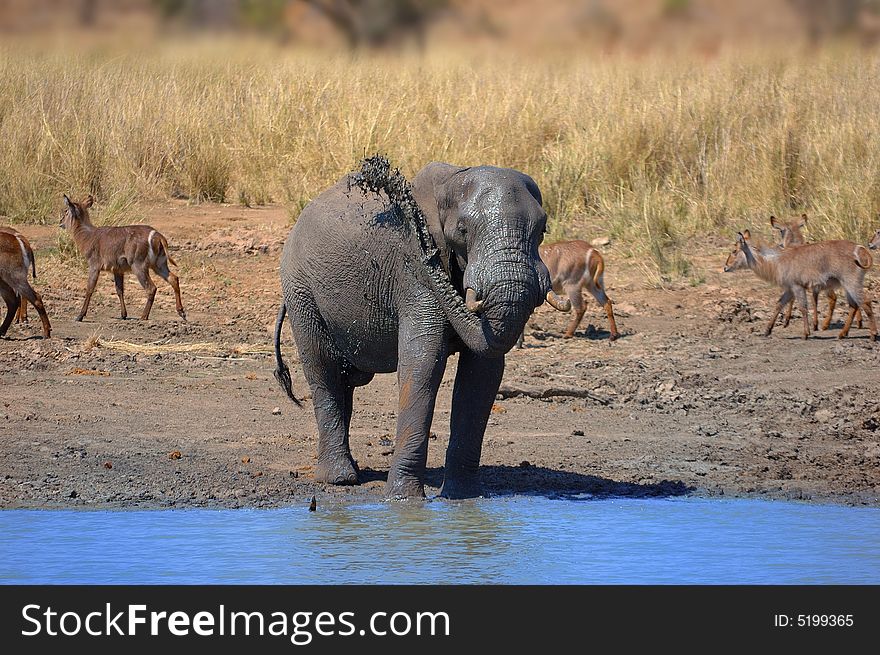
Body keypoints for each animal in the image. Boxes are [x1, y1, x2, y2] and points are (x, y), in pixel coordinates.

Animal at [274, 156, 564, 500]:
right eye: (462, 230)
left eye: (543, 230)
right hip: (301, 291)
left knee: (345, 381)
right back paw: (340, 479)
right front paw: (404, 501)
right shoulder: (412, 276)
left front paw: (465, 498)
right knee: (323, 371)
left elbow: (482, 378)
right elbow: (422, 365)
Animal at [720, 231, 872, 340]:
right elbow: (779, 304)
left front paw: (806, 334)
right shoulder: (790, 289)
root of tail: (860, 249)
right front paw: (767, 330)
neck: (777, 262)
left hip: (851, 283)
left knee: (864, 302)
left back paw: (871, 334)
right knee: (854, 305)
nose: (725, 267)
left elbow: (803, 307)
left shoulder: (797, 287)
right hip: (847, 286)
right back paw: (843, 334)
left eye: (734, 251)